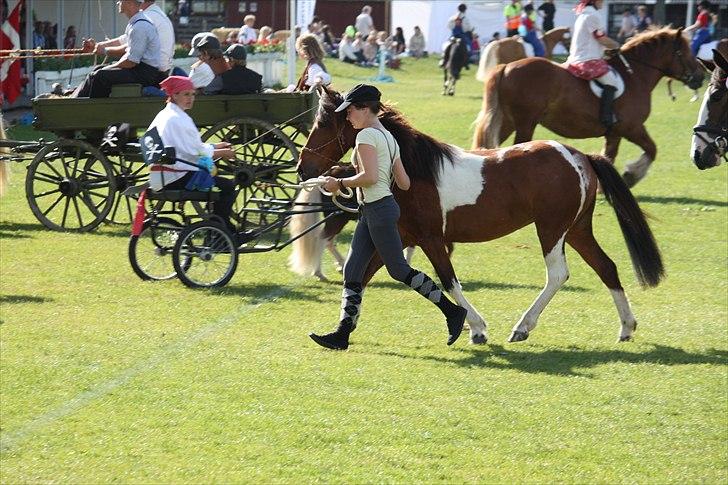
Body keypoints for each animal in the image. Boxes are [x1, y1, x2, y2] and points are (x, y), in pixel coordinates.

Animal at [298, 86, 664, 344]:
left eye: (324, 124)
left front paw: (475, 328)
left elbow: (448, 281)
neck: (414, 171)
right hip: (576, 229)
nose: (303, 168)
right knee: (606, 267)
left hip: (552, 229)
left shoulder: (432, 238)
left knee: (558, 274)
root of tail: (581, 156)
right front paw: (340, 331)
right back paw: (626, 327)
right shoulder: (399, 237)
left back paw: (522, 328)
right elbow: (362, 275)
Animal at [472, 28, 704, 186]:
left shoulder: (615, 133)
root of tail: (506, 66)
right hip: (525, 122)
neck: (635, 75)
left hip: (507, 121)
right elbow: (652, 149)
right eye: (684, 52)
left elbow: (610, 154)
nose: (700, 77)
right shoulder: (632, 128)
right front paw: (631, 175)